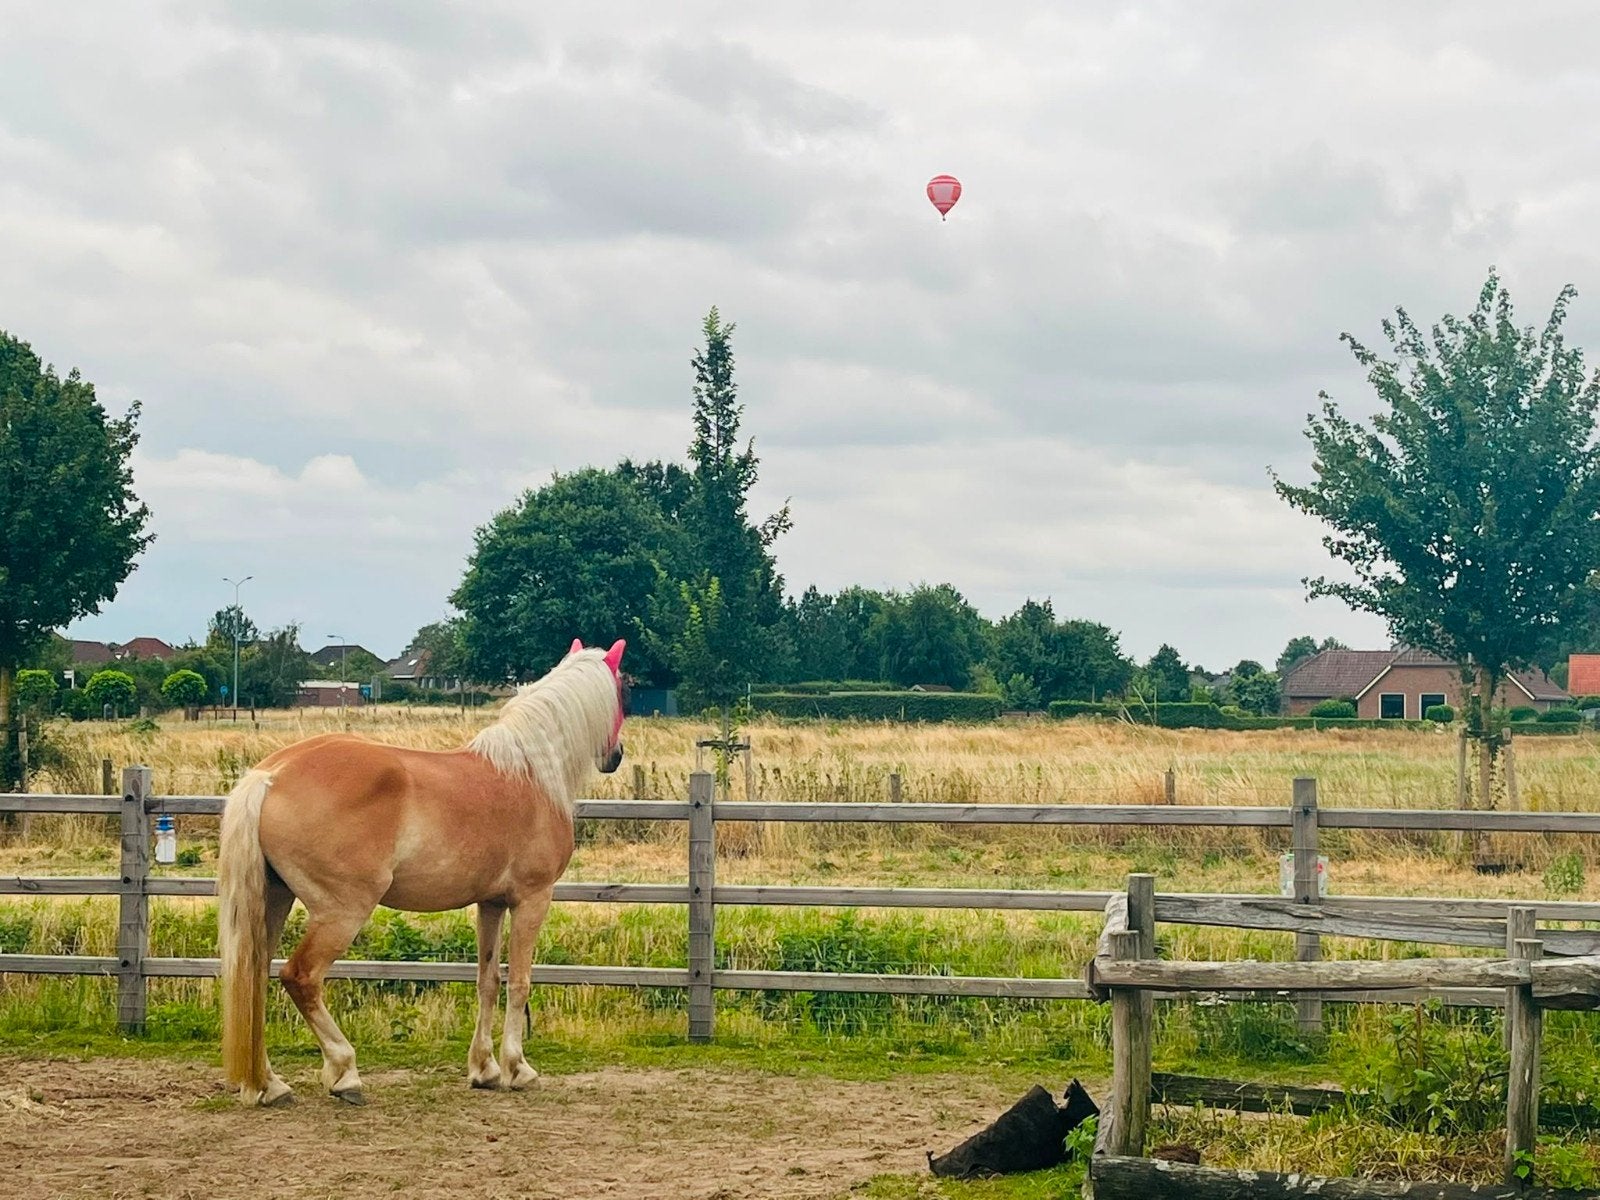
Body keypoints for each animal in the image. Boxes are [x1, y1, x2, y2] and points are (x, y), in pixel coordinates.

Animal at [217, 638, 627, 1107]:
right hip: (341, 911)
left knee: (254, 979)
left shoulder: (490, 903)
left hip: (275, 900)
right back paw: (344, 1073)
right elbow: (520, 983)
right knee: (299, 978)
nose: (616, 756)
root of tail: (271, 775)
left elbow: (488, 980)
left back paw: (269, 1084)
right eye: (623, 690)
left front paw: (484, 1069)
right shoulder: (532, 898)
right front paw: (518, 1068)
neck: (531, 771)